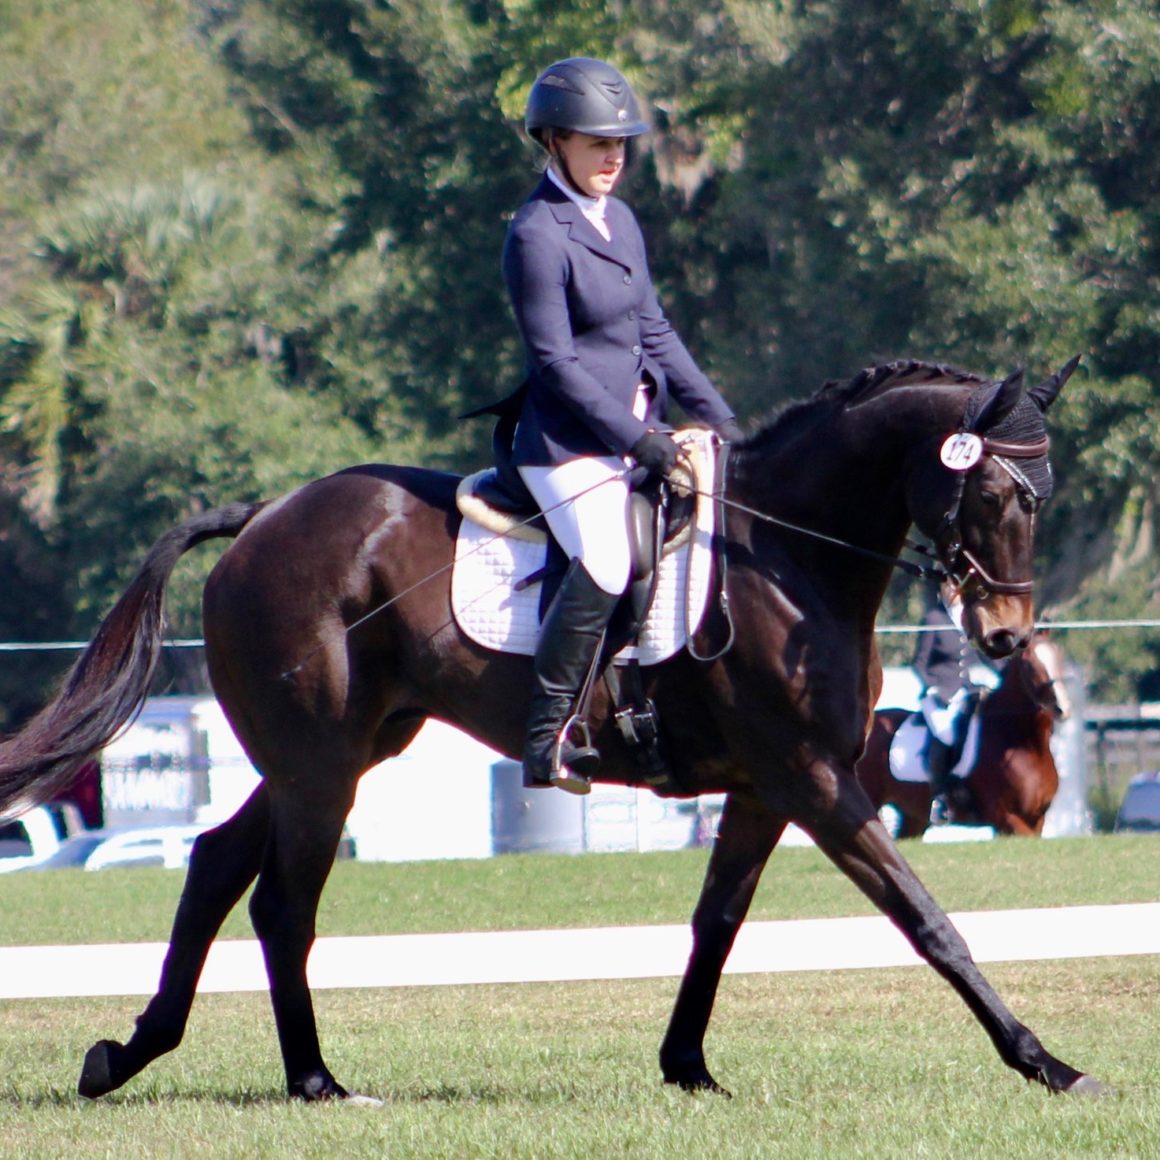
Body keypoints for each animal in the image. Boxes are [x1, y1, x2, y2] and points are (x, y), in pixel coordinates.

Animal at [856, 634, 1072, 838]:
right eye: (1029, 665)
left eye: (1060, 657)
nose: (1063, 708)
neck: (1026, 745)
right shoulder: (1007, 818)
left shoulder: (1036, 821)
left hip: (913, 816)